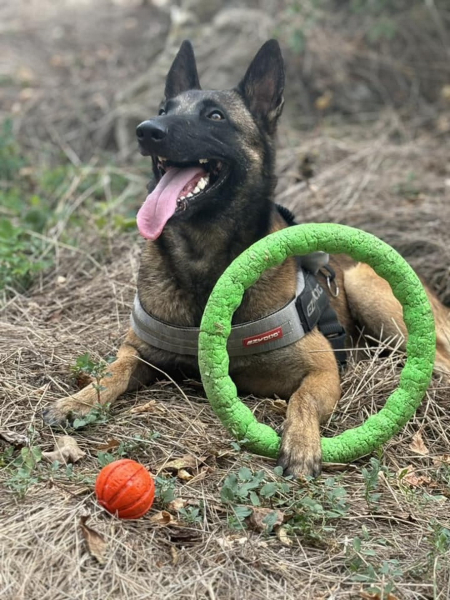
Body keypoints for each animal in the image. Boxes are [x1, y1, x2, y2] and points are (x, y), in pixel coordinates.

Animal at [44, 39, 450, 476]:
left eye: (215, 116)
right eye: (164, 110)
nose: (147, 130)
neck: (205, 261)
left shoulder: (322, 367)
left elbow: (302, 399)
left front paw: (301, 444)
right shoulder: (137, 351)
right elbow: (112, 371)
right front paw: (77, 401)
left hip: (371, 296)